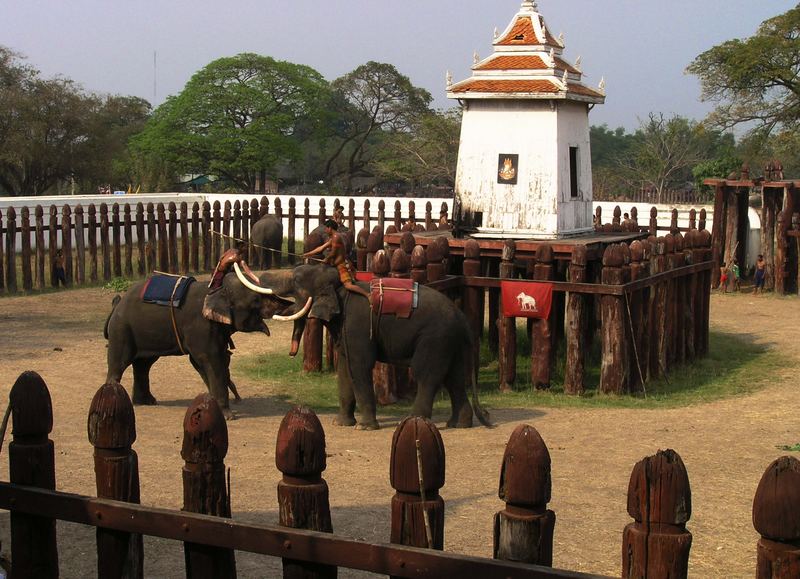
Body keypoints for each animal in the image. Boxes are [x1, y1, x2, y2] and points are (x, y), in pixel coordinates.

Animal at [104, 268, 304, 416]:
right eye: (255, 300)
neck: (216, 289)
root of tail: (118, 302)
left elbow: (209, 362)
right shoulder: (200, 326)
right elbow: (209, 360)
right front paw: (227, 415)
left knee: (143, 364)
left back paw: (146, 402)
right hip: (122, 329)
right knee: (119, 362)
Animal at [260, 266, 490, 428]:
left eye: (296, 280)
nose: (291, 353)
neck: (343, 286)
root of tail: (463, 319)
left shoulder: (356, 325)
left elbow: (359, 366)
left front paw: (364, 427)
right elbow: (345, 367)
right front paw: (340, 424)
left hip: (435, 338)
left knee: (427, 375)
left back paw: (411, 420)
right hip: (451, 342)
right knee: (454, 378)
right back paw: (458, 424)